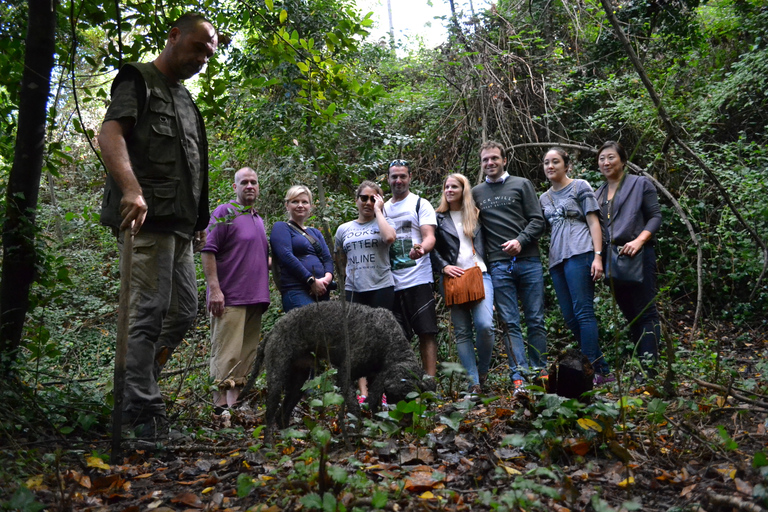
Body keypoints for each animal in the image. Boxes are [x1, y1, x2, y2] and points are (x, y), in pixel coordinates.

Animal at [243, 300, 436, 436]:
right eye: (397, 397)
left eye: (412, 399)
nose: (405, 424)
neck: (389, 341)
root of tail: (272, 330)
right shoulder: (345, 373)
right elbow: (354, 406)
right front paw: (358, 428)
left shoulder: (376, 377)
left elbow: (373, 402)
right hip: (277, 377)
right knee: (269, 416)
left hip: (299, 381)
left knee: (282, 414)